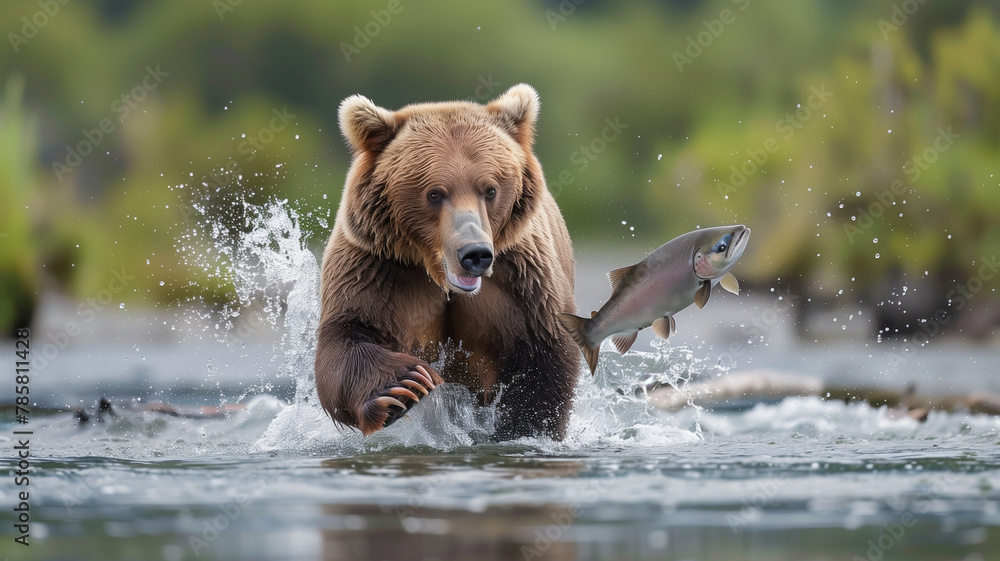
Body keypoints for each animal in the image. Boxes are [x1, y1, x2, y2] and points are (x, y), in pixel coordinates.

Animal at [314, 84, 580, 441]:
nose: (475, 254)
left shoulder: (520, 280)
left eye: (490, 189)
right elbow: (347, 334)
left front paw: (523, 426)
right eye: (434, 193)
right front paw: (404, 385)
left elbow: (546, 355)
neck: (439, 277)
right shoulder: (379, 268)